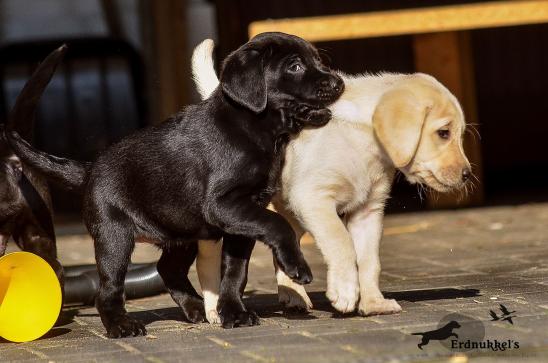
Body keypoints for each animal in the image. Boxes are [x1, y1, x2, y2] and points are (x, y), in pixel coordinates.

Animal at [193, 40, 470, 324]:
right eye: (443, 133)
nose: (467, 174)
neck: (361, 141)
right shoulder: (314, 200)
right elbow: (341, 243)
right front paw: (346, 291)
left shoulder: (368, 212)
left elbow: (369, 261)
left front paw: (373, 303)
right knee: (207, 261)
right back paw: (215, 309)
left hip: (291, 215)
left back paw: (293, 296)